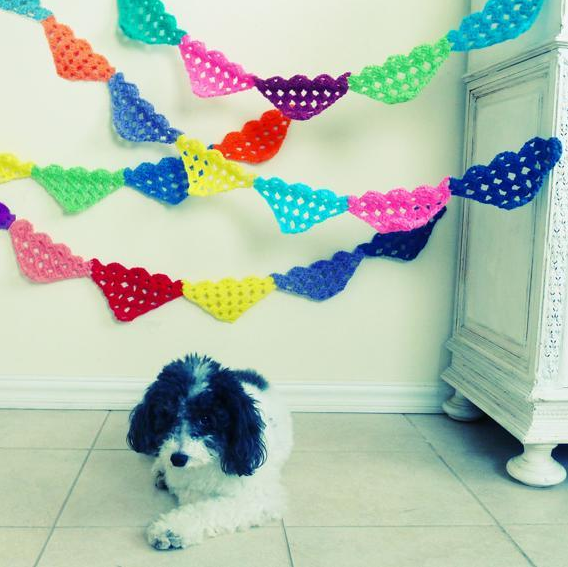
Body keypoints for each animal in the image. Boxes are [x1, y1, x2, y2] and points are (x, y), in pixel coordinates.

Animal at [127, 356, 292, 552]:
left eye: (205, 419)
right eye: (167, 415)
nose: (178, 459)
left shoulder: (260, 497)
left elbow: (209, 508)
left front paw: (170, 530)